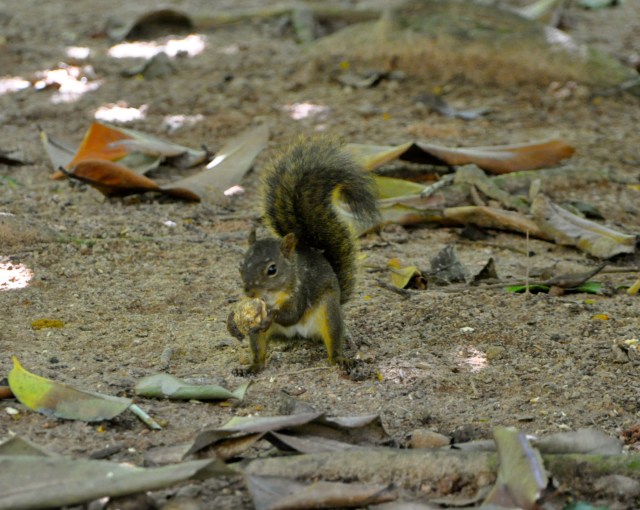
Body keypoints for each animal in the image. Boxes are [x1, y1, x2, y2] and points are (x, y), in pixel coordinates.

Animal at [231, 137, 379, 374]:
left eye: (272, 269)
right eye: (241, 265)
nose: (249, 291)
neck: (272, 295)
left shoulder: (302, 291)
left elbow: (292, 313)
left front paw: (271, 314)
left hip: (329, 312)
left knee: (333, 341)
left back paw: (340, 359)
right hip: (261, 336)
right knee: (259, 351)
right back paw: (251, 367)